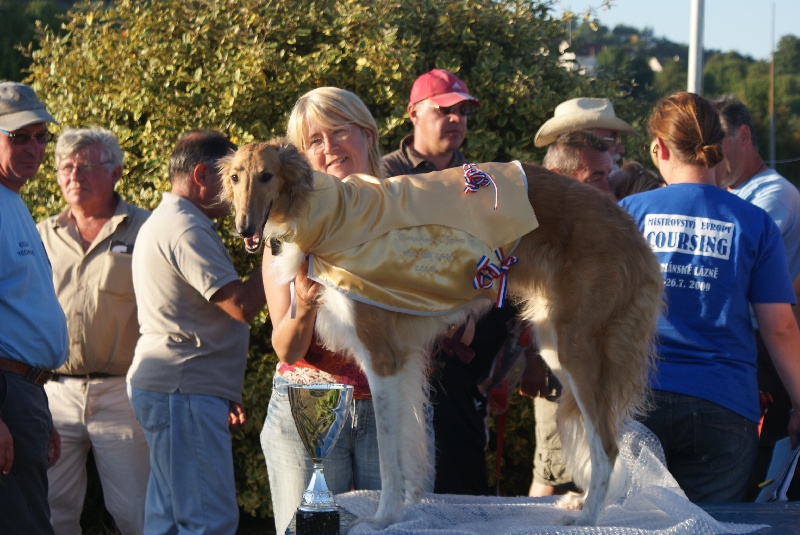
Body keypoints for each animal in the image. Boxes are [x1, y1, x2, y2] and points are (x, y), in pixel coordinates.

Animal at [219, 139, 664, 528]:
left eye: (266, 176)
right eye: (237, 177)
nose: (243, 228)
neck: (330, 217)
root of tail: (629, 229)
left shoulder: (382, 358)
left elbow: (387, 455)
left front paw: (383, 517)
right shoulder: (404, 363)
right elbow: (407, 447)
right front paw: (405, 505)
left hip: (576, 347)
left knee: (608, 445)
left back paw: (587, 517)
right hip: (556, 345)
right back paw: (584, 502)